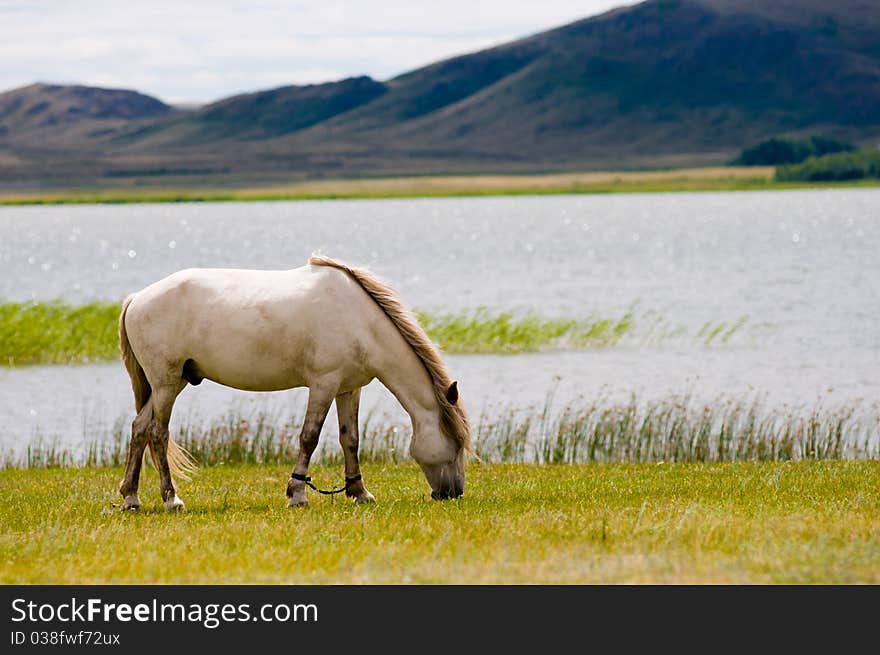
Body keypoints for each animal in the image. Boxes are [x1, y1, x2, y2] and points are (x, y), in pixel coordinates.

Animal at [120, 254, 470, 510]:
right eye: (456, 445)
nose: (453, 493)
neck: (359, 320)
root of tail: (137, 299)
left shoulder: (348, 388)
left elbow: (350, 439)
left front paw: (359, 492)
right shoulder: (323, 385)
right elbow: (309, 437)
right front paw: (297, 494)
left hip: (172, 383)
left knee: (140, 428)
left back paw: (131, 498)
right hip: (166, 384)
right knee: (158, 433)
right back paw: (172, 499)